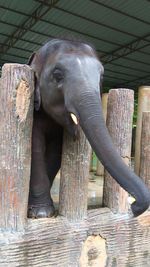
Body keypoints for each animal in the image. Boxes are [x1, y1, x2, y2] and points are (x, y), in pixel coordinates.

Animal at [27, 38, 149, 219]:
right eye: (57, 75)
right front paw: (41, 213)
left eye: (101, 76)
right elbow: (35, 148)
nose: (133, 207)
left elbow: (55, 153)